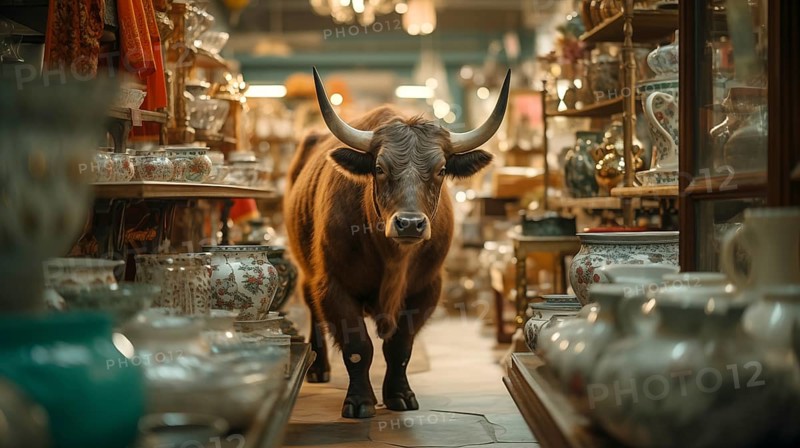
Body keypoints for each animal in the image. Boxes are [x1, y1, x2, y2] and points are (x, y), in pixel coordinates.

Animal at [284, 67, 510, 419]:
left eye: (441, 170)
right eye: (379, 168)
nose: (410, 223)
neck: (392, 257)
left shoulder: (425, 289)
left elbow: (400, 346)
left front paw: (399, 395)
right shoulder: (333, 285)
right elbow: (358, 347)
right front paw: (359, 401)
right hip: (307, 273)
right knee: (313, 311)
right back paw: (319, 369)